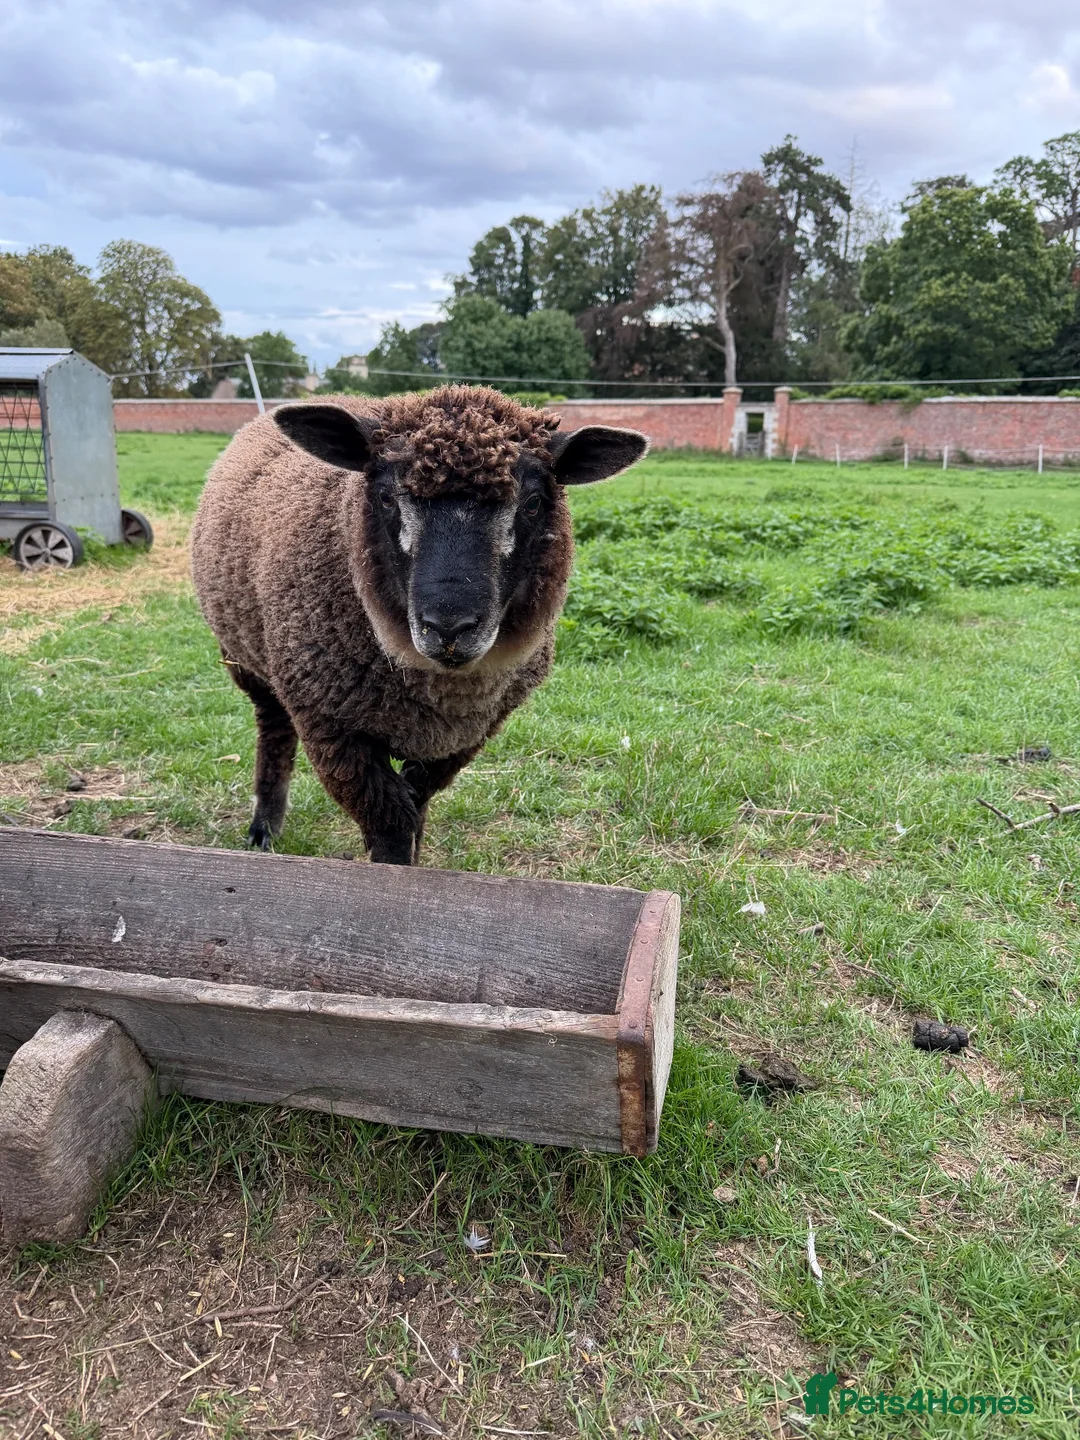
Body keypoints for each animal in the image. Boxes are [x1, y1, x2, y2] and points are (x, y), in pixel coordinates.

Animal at [191, 385, 648, 864]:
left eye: (534, 502)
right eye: (386, 497)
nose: (449, 627)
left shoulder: (463, 735)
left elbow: (416, 802)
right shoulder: (330, 730)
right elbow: (390, 820)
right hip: (249, 663)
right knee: (274, 730)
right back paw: (264, 828)